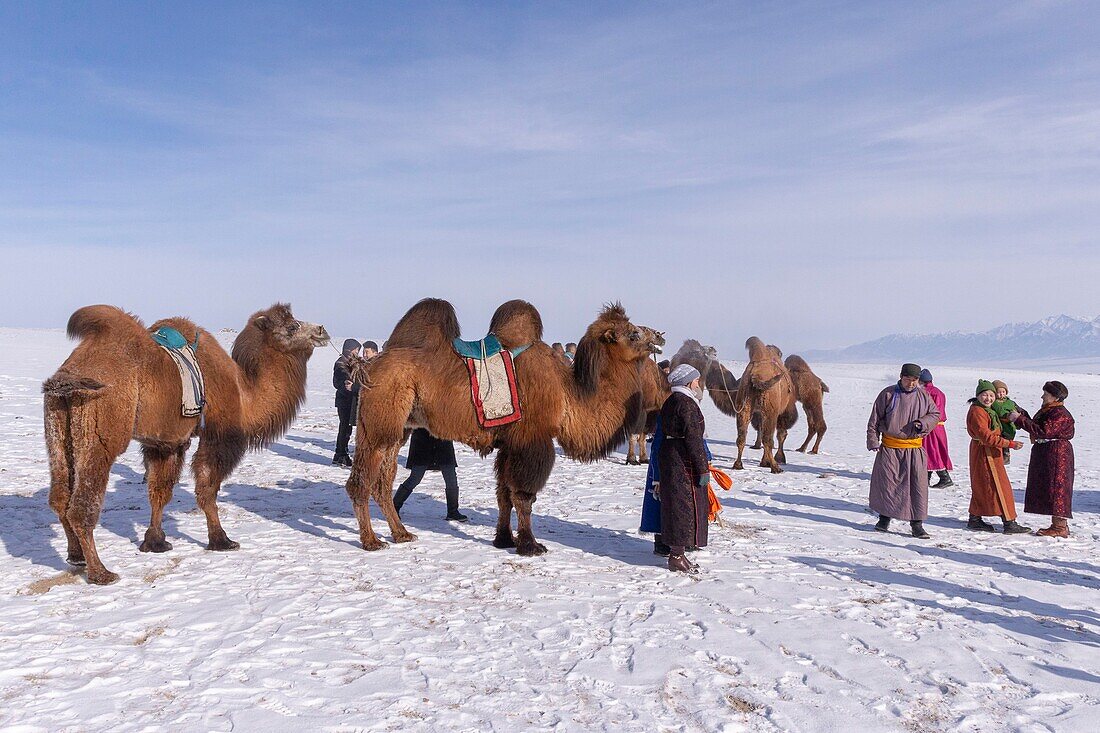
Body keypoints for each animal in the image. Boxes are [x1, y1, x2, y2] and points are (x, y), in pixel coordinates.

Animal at [40, 301, 330, 581]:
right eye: (292, 326)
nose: (322, 330)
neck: (243, 393)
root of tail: (69, 374)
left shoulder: (165, 442)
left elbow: (160, 492)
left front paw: (155, 542)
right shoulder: (217, 437)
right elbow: (207, 489)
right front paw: (222, 540)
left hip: (57, 427)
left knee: (60, 497)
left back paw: (76, 556)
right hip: (102, 428)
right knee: (82, 504)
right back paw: (102, 572)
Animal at [343, 297, 651, 554]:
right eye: (633, 333)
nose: (656, 338)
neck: (568, 392)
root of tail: (367, 366)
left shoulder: (510, 443)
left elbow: (504, 494)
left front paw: (503, 540)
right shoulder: (532, 439)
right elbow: (524, 496)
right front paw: (531, 545)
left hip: (401, 426)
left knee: (383, 480)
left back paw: (401, 534)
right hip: (379, 421)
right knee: (361, 481)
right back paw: (371, 541)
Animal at [734, 338, 796, 473]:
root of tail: (755, 377)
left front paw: (764, 462)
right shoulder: (780, 412)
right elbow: (780, 434)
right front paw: (777, 459)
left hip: (743, 408)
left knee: (741, 437)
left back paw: (738, 464)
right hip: (771, 412)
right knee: (768, 439)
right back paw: (776, 468)